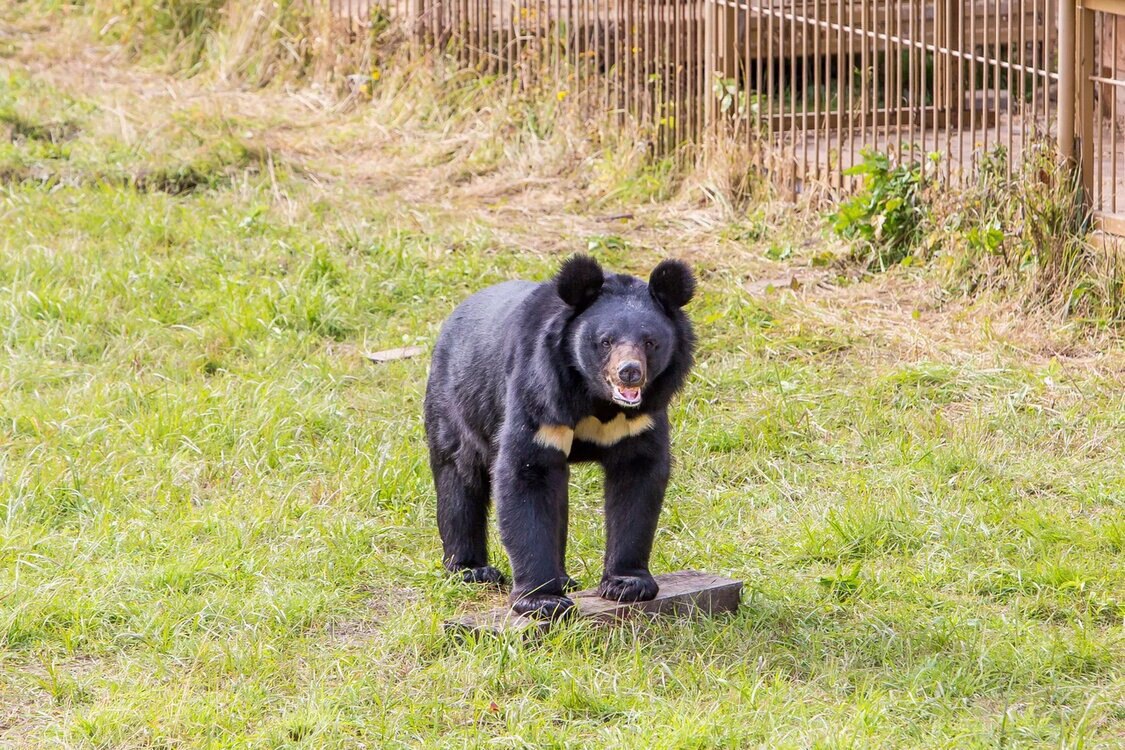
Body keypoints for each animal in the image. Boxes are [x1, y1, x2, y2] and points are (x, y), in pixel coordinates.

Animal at [425, 255, 693, 620]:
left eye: (650, 342)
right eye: (605, 341)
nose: (629, 372)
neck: (598, 400)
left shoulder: (642, 418)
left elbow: (638, 481)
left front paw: (628, 584)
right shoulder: (539, 395)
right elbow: (525, 474)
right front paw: (542, 601)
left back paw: (564, 577)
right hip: (456, 403)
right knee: (458, 475)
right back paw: (471, 569)